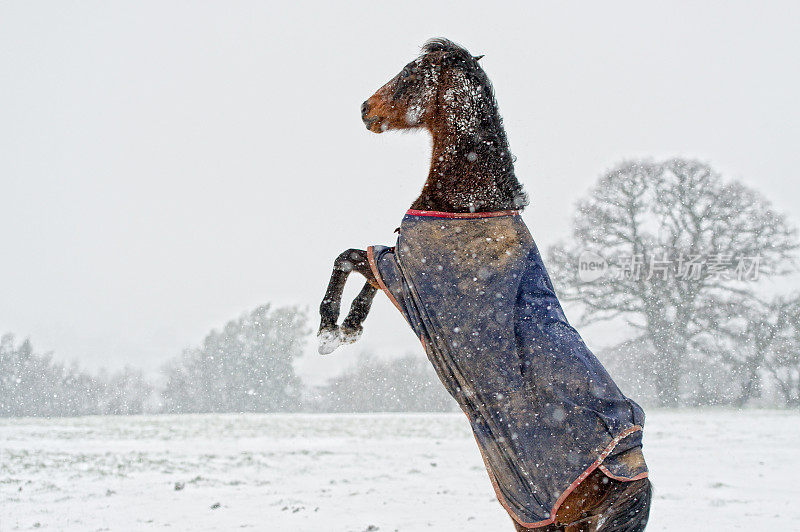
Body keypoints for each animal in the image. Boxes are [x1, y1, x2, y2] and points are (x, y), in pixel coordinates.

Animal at [318, 39, 648, 528]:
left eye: (410, 73)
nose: (365, 109)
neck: (471, 202)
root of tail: (631, 468)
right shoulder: (402, 270)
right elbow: (366, 269)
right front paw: (347, 329)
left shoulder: (407, 275)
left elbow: (351, 259)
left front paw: (331, 332)